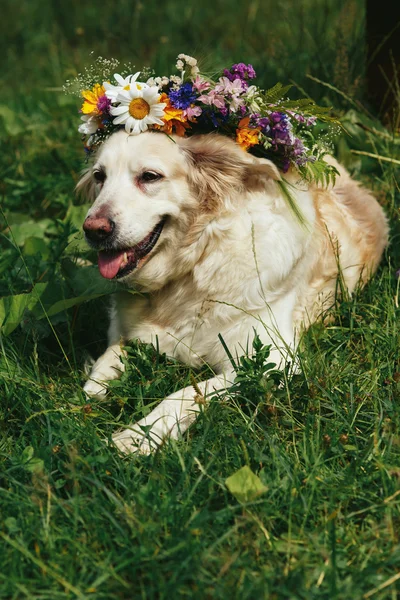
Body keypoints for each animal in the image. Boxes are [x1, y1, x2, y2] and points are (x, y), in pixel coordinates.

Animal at [78, 129, 388, 452]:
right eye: (100, 176)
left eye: (150, 176)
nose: (94, 229)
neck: (194, 264)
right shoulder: (128, 330)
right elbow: (107, 358)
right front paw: (91, 393)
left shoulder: (273, 361)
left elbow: (183, 394)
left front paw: (137, 436)